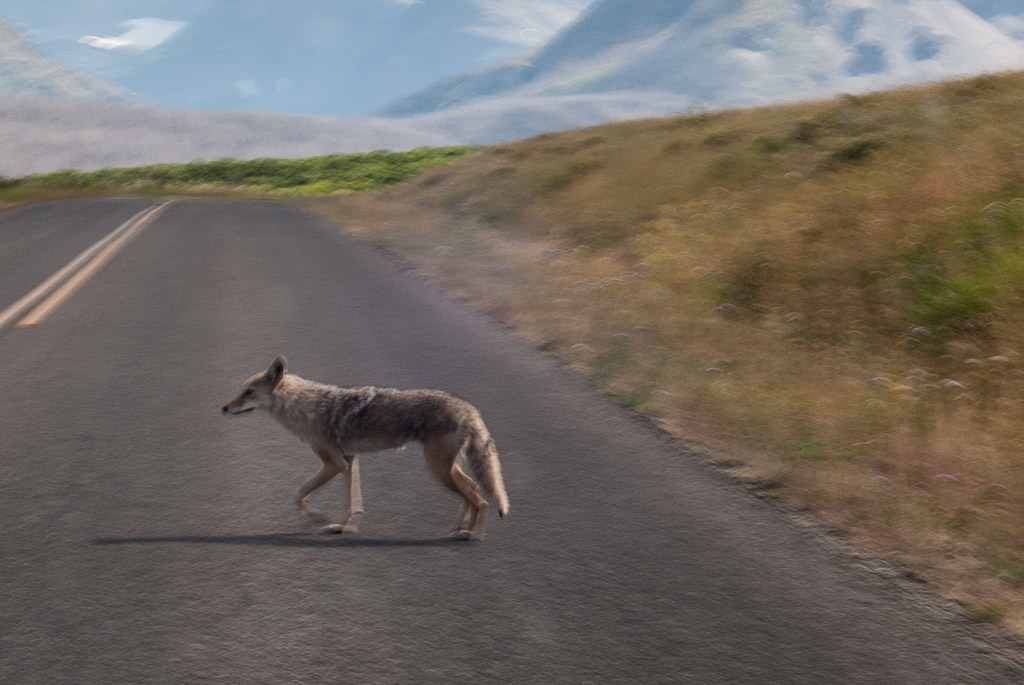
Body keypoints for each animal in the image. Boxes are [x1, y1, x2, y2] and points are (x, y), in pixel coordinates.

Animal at [222, 356, 509, 540]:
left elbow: (299, 494)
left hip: (438, 469)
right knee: (473, 489)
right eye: (241, 391)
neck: (304, 407)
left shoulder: (334, 463)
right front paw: (344, 528)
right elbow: (351, 501)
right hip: (446, 469)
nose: (224, 408)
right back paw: (458, 529)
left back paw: (472, 535)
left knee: (481, 499)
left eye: (249, 392)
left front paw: (317, 518)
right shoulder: (348, 460)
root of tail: (469, 407)